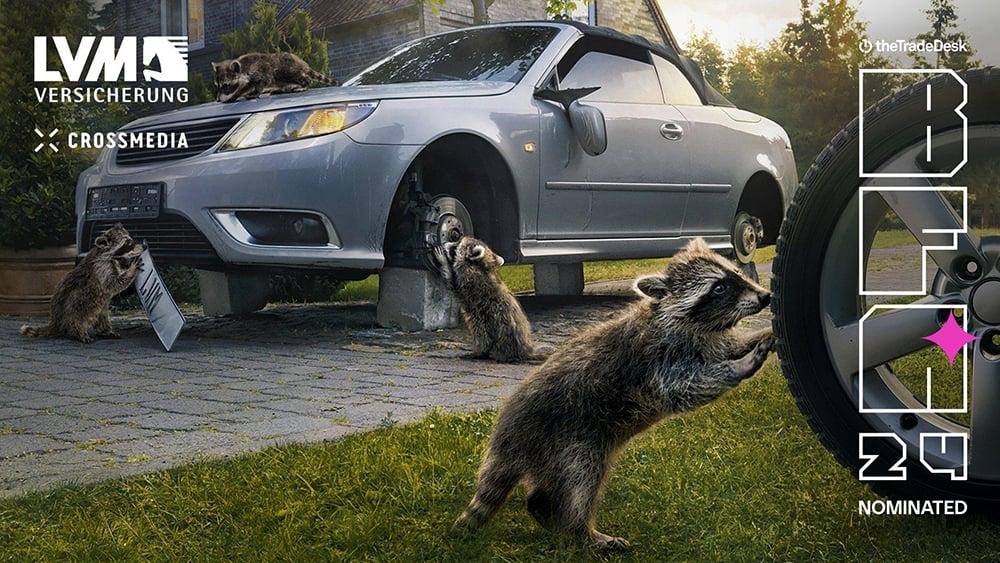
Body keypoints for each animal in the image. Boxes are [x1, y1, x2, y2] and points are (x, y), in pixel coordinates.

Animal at [434, 236, 552, 364]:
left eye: (458, 243)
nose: (445, 243)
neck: (482, 266)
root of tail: (525, 350)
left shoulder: (470, 282)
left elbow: (453, 285)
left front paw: (444, 263)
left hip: (489, 324)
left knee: (482, 335)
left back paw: (480, 353)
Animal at [454, 239, 772, 552]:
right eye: (719, 288)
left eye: (737, 274)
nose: (766, 297)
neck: (694, 323)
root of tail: (507, 438)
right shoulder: (657, 361)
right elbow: (685, 388)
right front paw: (738, 365)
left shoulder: (706, 341)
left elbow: (727, 346)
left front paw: (761, 335)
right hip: (568, 439)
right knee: (582, 481)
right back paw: (582, 530)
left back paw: (544, 510)